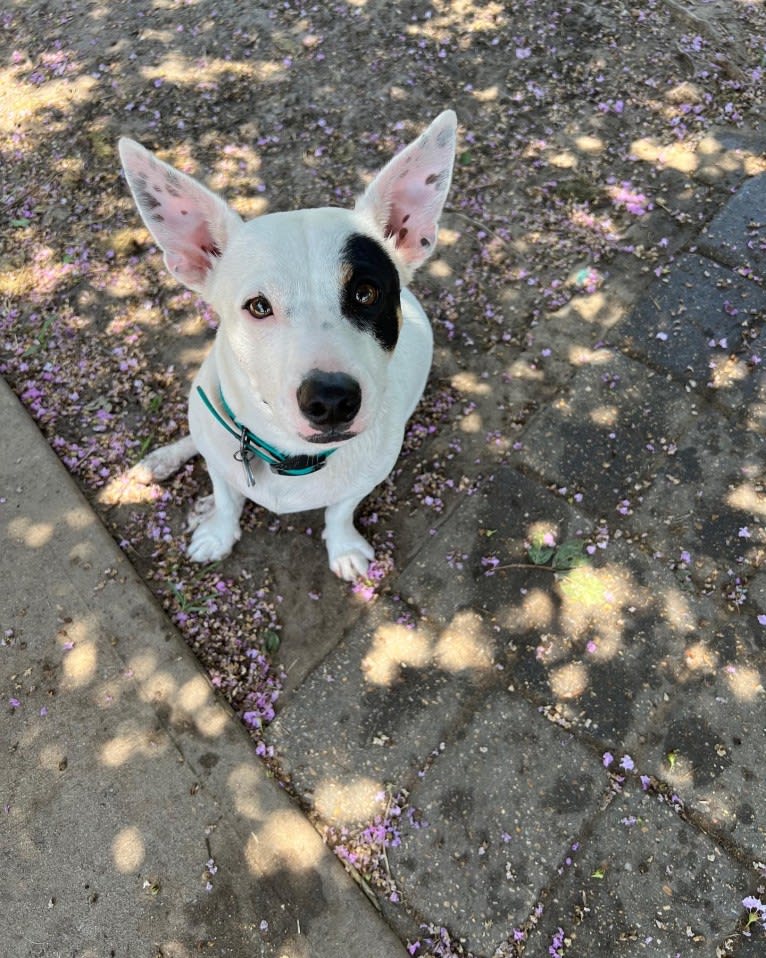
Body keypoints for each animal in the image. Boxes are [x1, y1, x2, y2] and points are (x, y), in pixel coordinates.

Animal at [118, 109, 456, 580]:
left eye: (366, 293)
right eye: (259, 306)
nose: (330, 400)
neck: (291, 456)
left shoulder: (367, 475)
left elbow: (339, 510)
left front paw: (343, 548)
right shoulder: (222, 459)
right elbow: (225, 495)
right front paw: (218, 531)